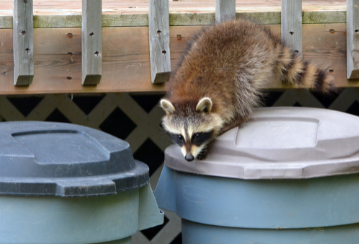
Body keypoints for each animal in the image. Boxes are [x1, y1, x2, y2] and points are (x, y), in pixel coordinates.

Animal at [160, 19, 334, 162]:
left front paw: (212, 137)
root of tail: (263, 35)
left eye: (197, 135)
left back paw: (240, 116)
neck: (189, 96)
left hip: (253, 60)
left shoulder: (223, 100)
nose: (189, 158)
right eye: (179, 137)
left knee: (243, 86)